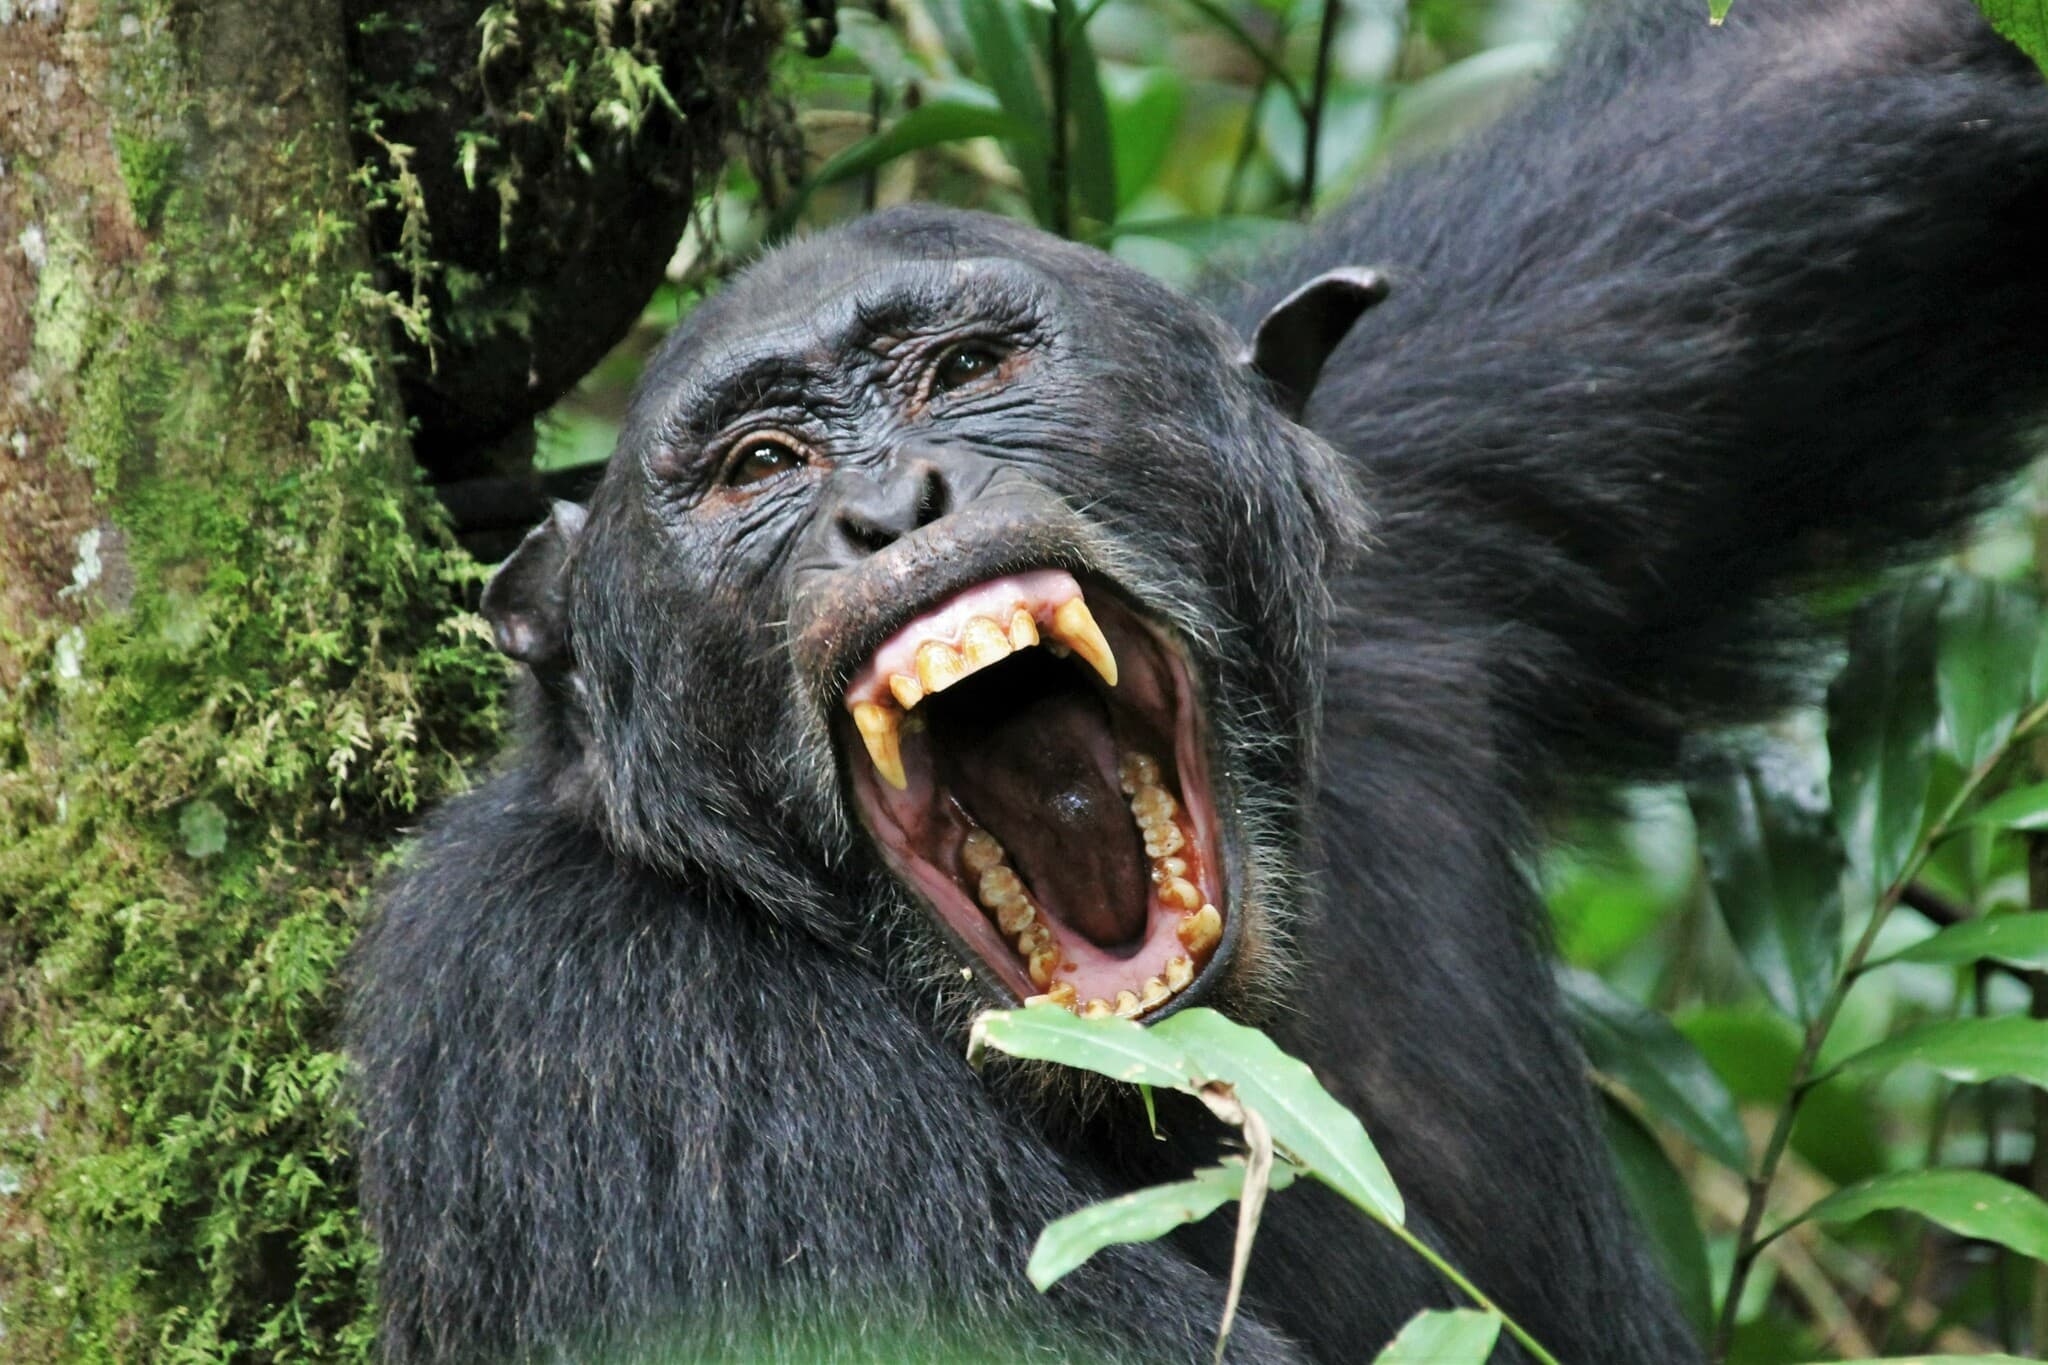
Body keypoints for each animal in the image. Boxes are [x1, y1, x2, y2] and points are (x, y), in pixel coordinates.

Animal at [348, 0, 2048, 1359]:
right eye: (759, 466)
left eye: (964, 370)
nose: (889, 503)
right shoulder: (610, 1031)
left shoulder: (1428, 475)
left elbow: (1852, 67)